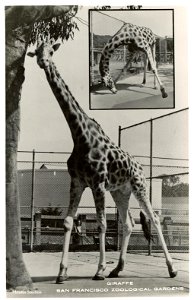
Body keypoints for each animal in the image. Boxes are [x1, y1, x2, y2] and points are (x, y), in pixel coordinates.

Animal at [27, 36, 177, 282]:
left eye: (51, 51)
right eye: (37, 51)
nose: (42, 62)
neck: (79, 135)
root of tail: (140, 167)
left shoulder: (97, 183)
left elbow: (102, 224)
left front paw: (99, 270)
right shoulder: (77, 182)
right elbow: (68, 222)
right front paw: (62, 272)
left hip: (139, 186)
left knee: (153, 218)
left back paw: (172, 269)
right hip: (120, 191)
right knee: (128, 223)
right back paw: (118, 268)